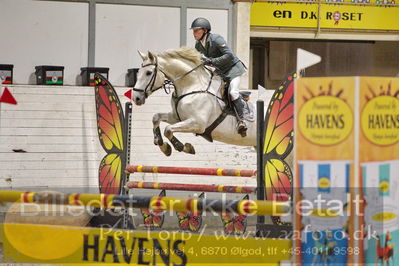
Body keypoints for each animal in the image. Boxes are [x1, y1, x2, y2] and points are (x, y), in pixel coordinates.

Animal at [133, 47, 266, 156]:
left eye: (148, 72)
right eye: (138, 72)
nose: (136, 98)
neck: (191, 85)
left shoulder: (197, 123)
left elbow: (168, 130)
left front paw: (184, 147)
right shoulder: (178, 117)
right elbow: (156, 118)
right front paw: (162, 145)